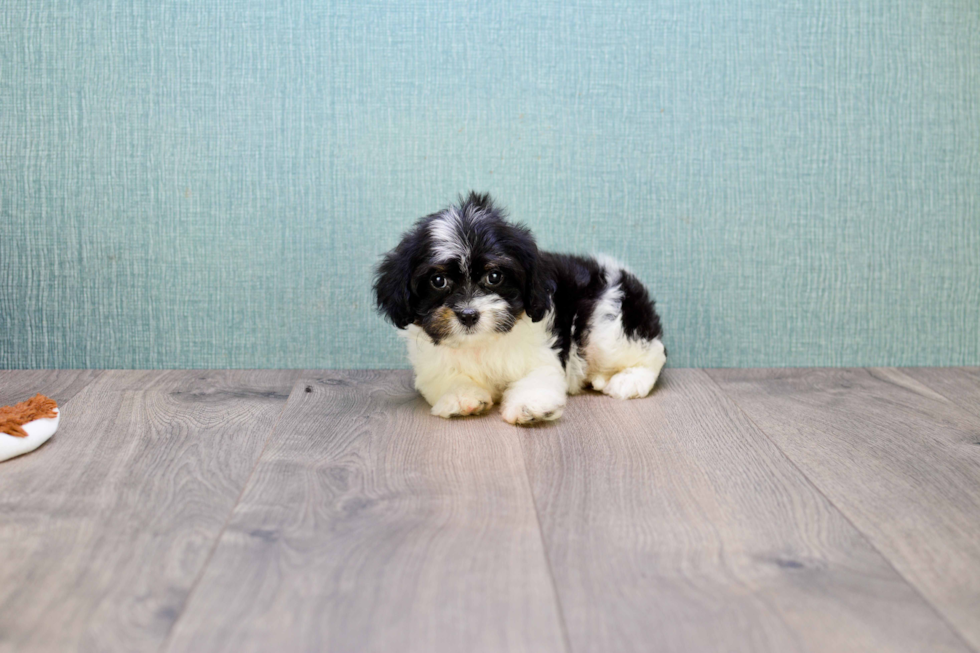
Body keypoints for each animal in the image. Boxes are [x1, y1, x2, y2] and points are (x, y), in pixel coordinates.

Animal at [376, 191, 668, 426]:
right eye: (438, 281)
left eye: (494, 276)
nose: (468, 315)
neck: (480, 344)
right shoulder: (432, 364)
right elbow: (445, 377)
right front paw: (461, 397)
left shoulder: (543, 352)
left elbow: (537, 376)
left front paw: (530, 406)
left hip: (607, 327)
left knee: (653, 353)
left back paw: (629, 380)